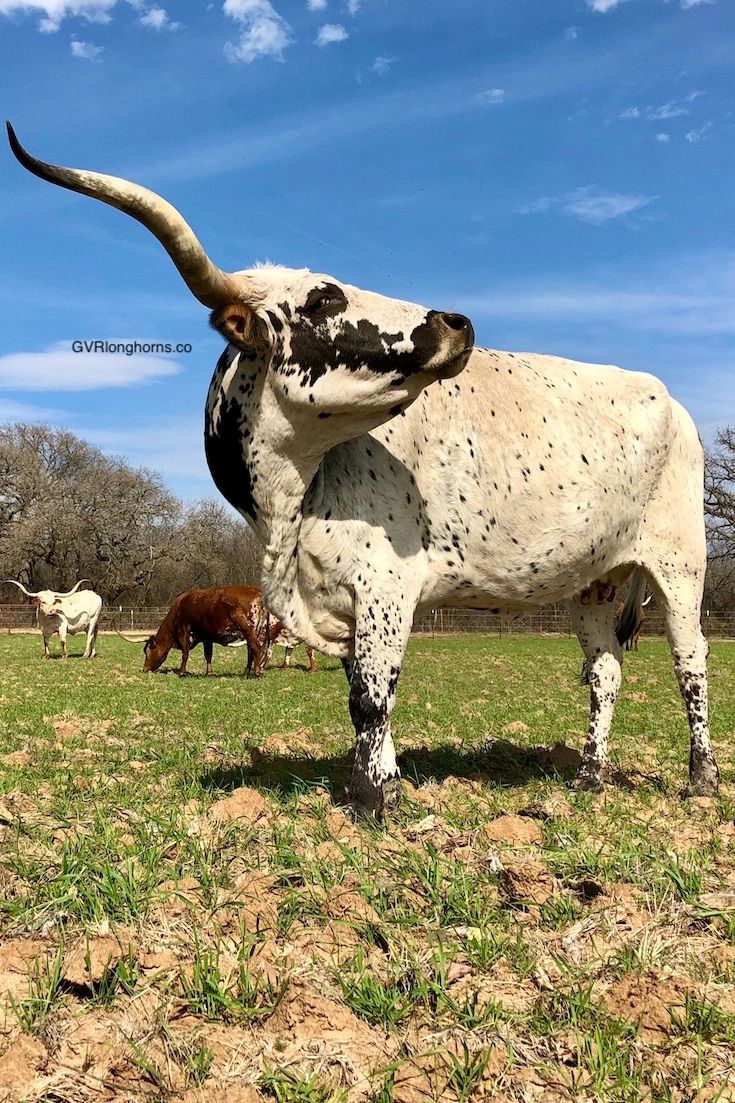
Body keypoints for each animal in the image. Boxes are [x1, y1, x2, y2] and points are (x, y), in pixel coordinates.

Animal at [8, 124, 717, 817]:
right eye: (324, 297)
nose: (457, 322)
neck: (289, 512)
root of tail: (671, 400)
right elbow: (356, 694)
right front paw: (370, 785)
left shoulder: (387, 587)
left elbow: (372, 697)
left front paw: (376, 801)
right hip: (594, 579)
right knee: (605, 672)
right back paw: (589, 779)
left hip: (681, 568)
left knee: (691, 666)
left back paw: (701, 782)